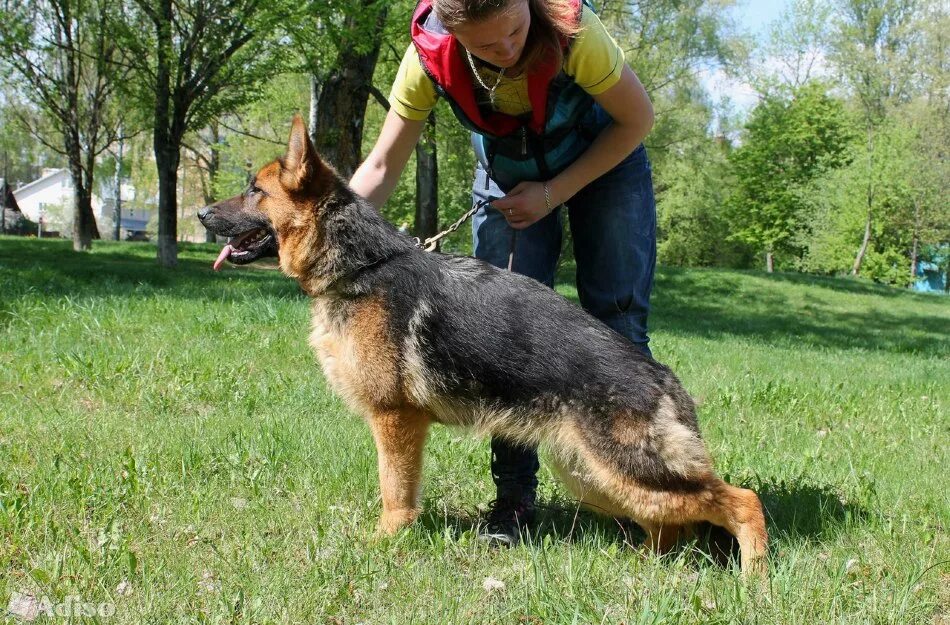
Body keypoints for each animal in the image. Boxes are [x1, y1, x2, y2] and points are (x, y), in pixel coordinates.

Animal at [197, 118, 768, 576]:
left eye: (253, 190)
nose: (200, 214)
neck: (362, 265)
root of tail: (662, 377)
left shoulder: (395, 420)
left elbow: (394, 491)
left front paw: (385, 543)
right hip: (592, 475)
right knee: (670, 524)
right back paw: (645, 567)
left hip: (625, 470)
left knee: (741, 501)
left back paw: (754, 580)